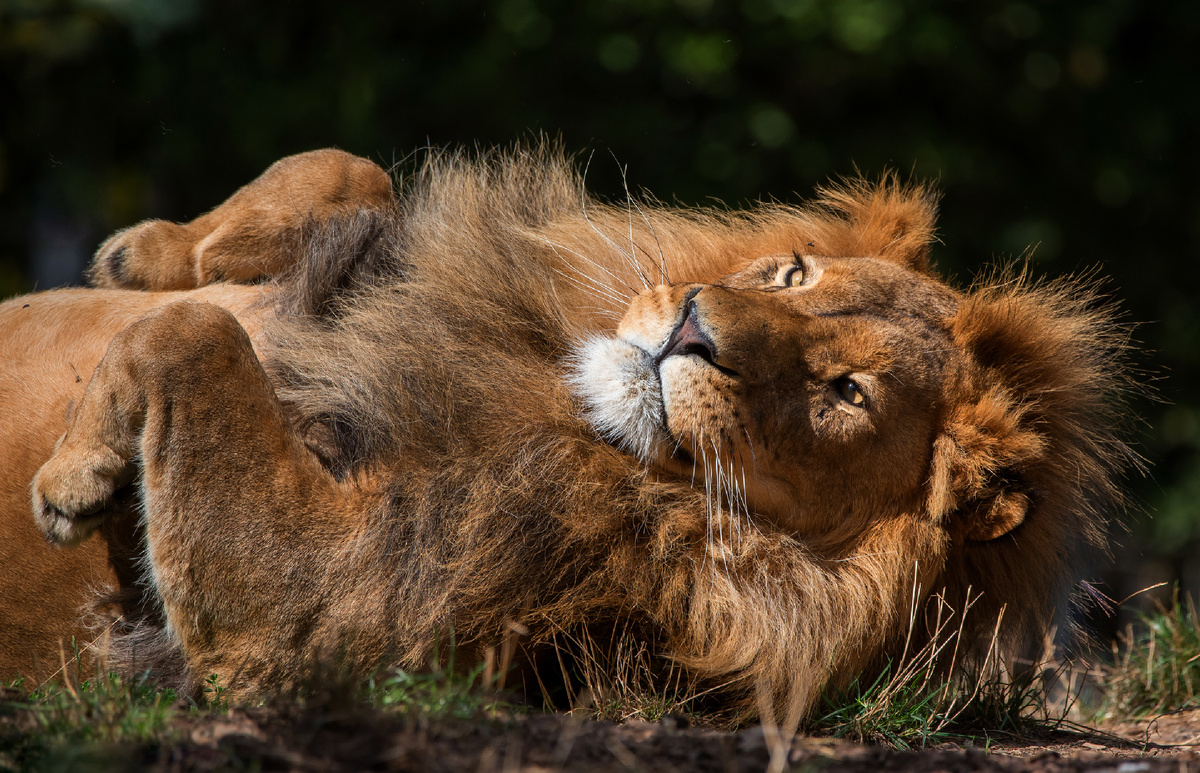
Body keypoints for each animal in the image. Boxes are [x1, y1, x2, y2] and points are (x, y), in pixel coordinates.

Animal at [0, 143, 1128, 720]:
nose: (692, 326)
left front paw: (75, 473)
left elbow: (195, 333)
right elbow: (345, 170)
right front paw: (146, 252)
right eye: (794, 273)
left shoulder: (319, 620)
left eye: (846, 392)